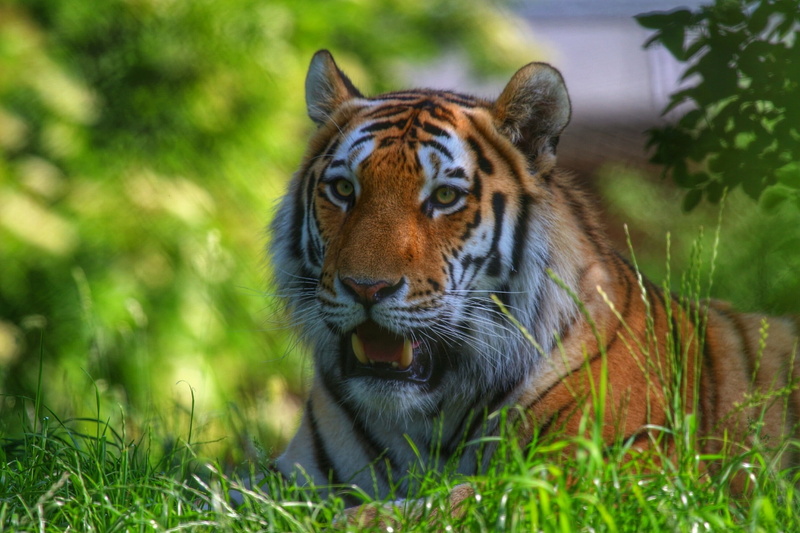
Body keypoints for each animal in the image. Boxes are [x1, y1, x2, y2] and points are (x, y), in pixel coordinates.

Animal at [268, 49, 800, 515]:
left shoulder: (625, 470)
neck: (423, 420)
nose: (366, 289)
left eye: (444, 197)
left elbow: (470, 496)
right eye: (343, 190)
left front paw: (363, 519)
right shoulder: (293, 474)